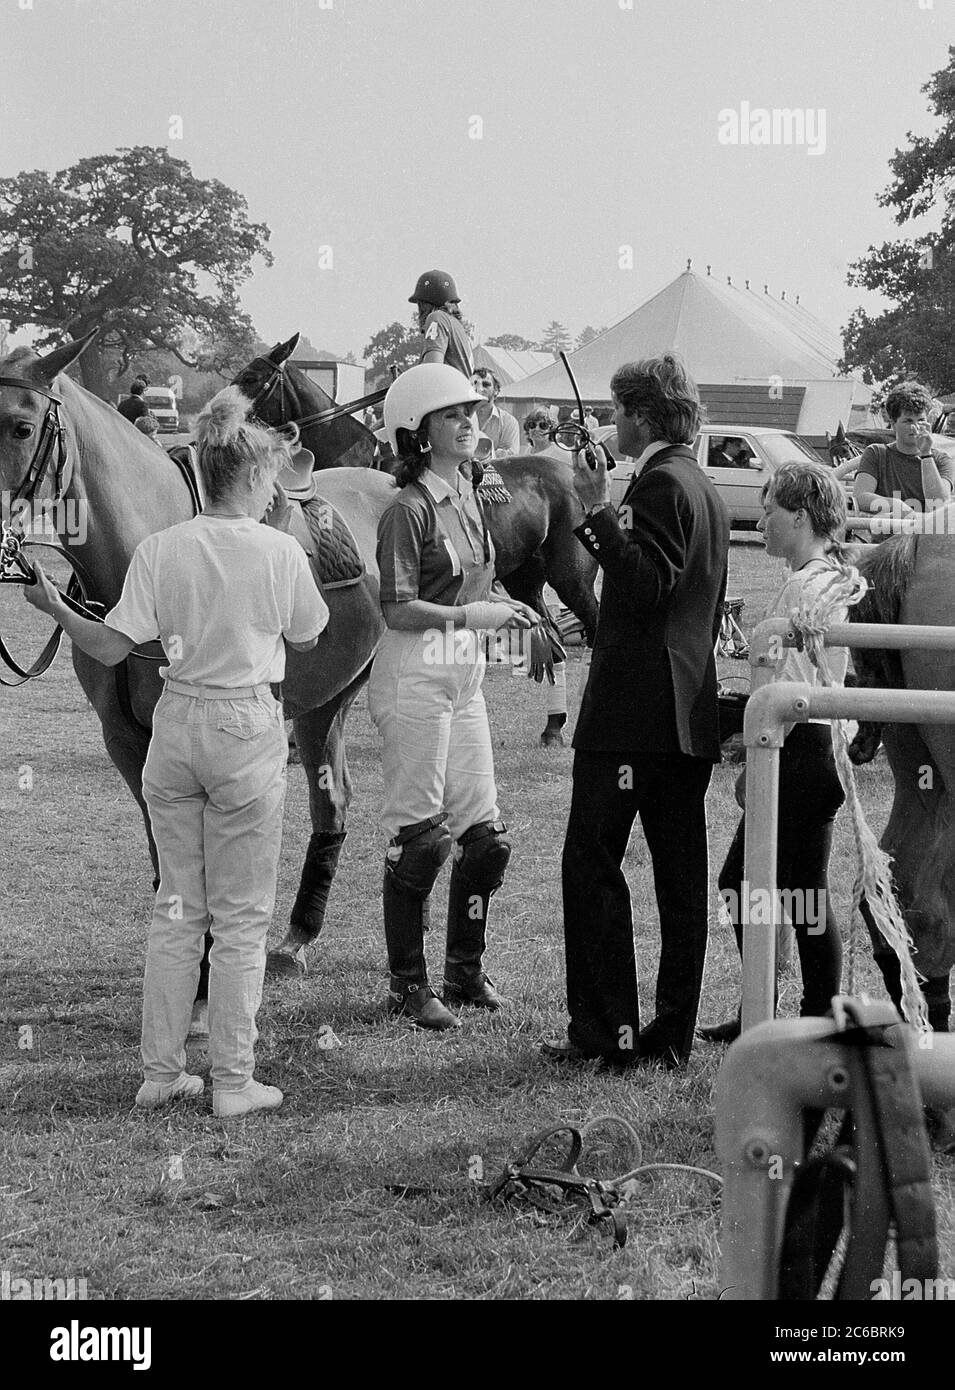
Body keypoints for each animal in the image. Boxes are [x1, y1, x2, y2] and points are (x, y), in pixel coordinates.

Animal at [233, 336, 597, 750]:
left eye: (250, 377)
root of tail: (572, 472)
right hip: (525, 580)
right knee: (553, 641)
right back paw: (553, 726)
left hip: (573, 579)